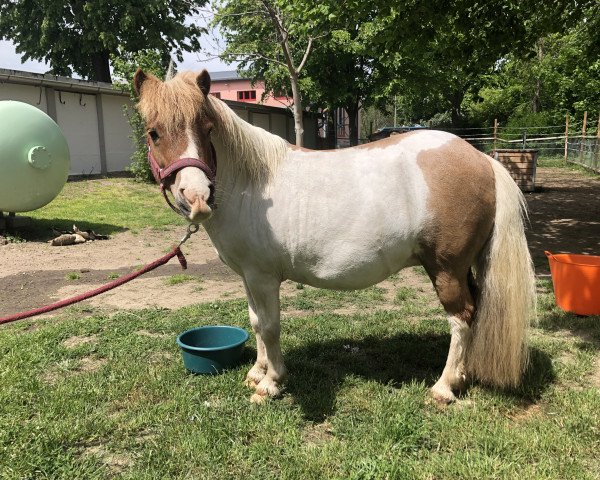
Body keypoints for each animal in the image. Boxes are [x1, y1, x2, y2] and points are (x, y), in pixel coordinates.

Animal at [134, 69, 536, 404]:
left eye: (206, 129)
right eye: (154, 133)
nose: (197, 198)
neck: (251, 185)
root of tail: (482, 160)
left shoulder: (263, 278)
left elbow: (270, 327)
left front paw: (271, 384)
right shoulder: (248, 276)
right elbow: (255, 322)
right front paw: (256, 373)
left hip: (446, 270)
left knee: (461, 318)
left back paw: (444, 387)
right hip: (463, 268)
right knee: (475, 311)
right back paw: (463, 377)